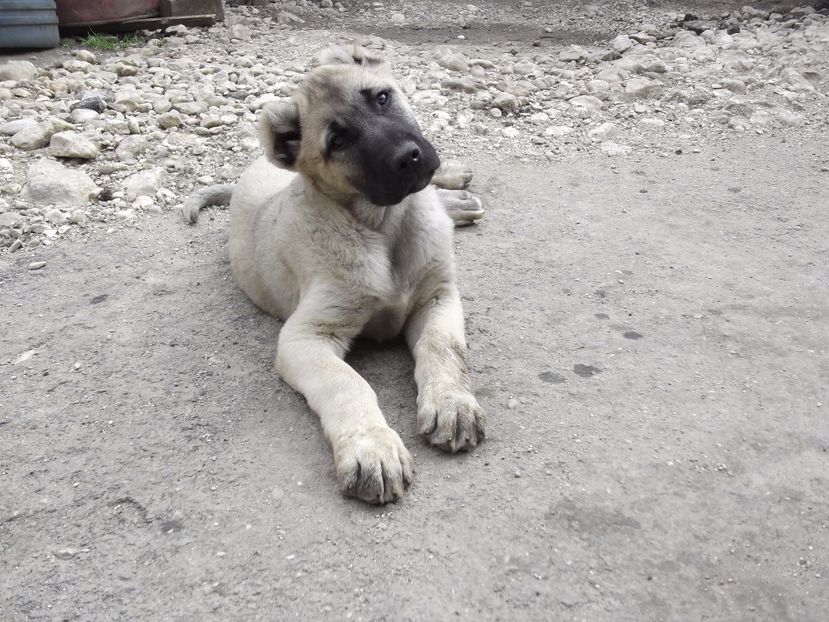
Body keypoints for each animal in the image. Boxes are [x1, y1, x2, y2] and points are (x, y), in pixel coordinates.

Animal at [188, 47, 486, 508]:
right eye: (338, 141)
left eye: (381, 97)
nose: (409, 157)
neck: (384, 226)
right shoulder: (306, 337)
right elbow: (347, 383)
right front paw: (373, 447)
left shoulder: (437, 295)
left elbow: (443, 348)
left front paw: (452, 403)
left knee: (434, 193)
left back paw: (455, 186)